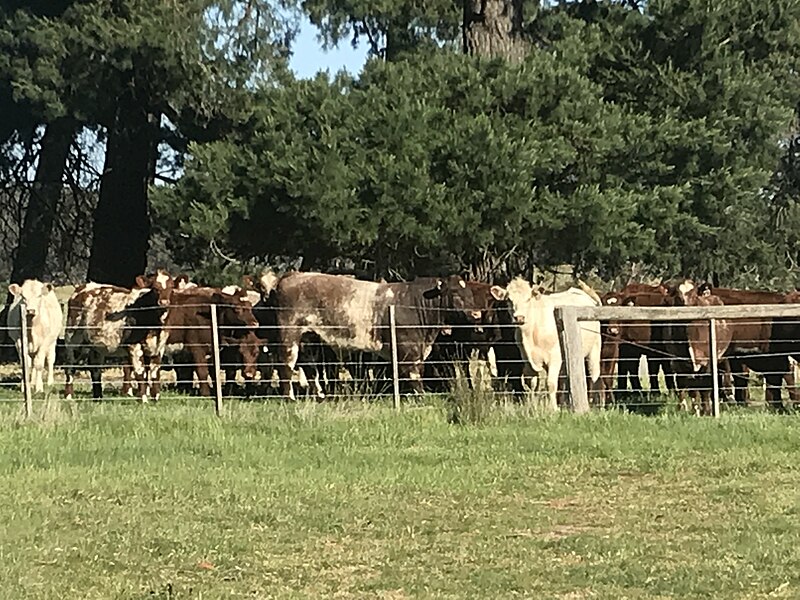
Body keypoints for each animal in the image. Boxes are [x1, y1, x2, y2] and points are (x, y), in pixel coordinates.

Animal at [63, 272, 174, 404]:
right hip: (73, 339)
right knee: (70, 366)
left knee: (95, 370)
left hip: (96, 347)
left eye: (171, 288)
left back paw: (98, 397)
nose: (164, 302)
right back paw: (69, 396)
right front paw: (143, 399)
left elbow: (154, 373)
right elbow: (140, 373)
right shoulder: (134, 346)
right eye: (155, 288)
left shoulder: (158, 347)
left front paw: (156, 398)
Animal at [266, 272, 482, 398]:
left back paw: (319, 396)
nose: (477, 314)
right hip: (289, 335)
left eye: (471, 293)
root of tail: (290, 276)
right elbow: (414, 373)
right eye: (455, 293)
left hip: (309, 338)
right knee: (286, 365)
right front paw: (420, 397)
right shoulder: (409, 349)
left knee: (310, 367)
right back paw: (290, 398)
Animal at [488, 278, 600, 412]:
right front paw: (532, 405)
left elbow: (550, 383)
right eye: (509, 299)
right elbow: (531, 383)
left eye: (528, 299)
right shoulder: (527, 360)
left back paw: (591, 401)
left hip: (594, 348)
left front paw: (554, 409)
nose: (519, 318)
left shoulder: (555, 357)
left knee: (593, 375)